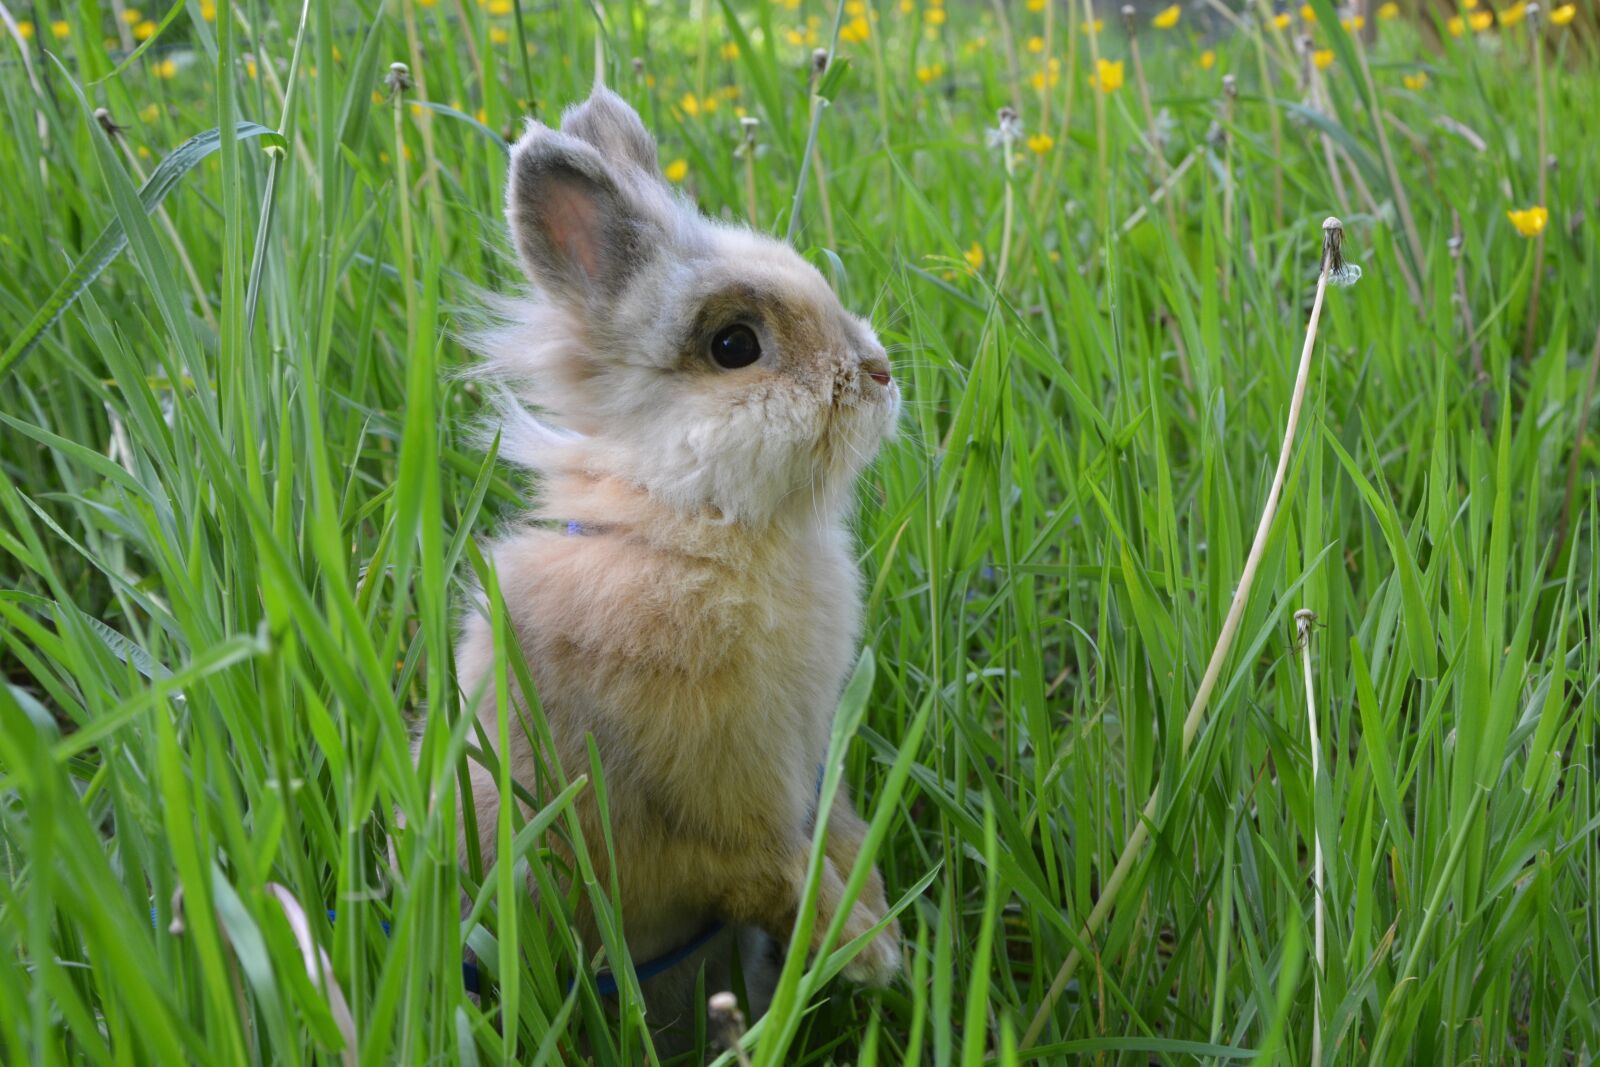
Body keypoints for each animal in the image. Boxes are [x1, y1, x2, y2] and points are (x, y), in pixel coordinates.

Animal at [451, 83, 902, 1043]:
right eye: (735, 346)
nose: (879, 372)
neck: (693, 526)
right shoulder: (714, 819)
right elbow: (779, 873)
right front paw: (869, 949)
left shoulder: (809, 768)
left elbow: (837, 832)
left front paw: (878, 925)